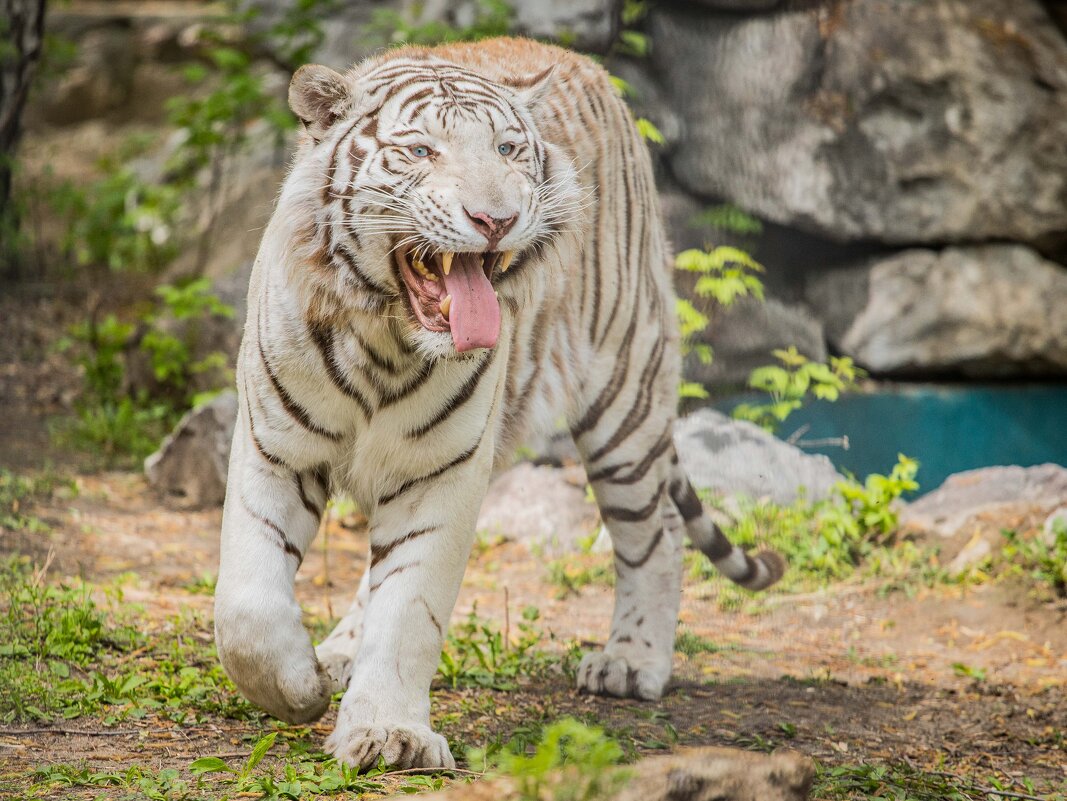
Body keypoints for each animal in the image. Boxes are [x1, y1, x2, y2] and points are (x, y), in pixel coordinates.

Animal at [213, 36, 784, 771]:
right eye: (421, 151)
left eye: (509, 149)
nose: (496, 219)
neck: (383, 340)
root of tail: (584, 62)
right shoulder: (274, 447)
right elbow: (247, 608)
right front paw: (300, 687)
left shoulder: (439, 470)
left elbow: (409, 609)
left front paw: (389, 733)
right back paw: (337, 654)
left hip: (624, 402)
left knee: (655, 533)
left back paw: (631, 661)